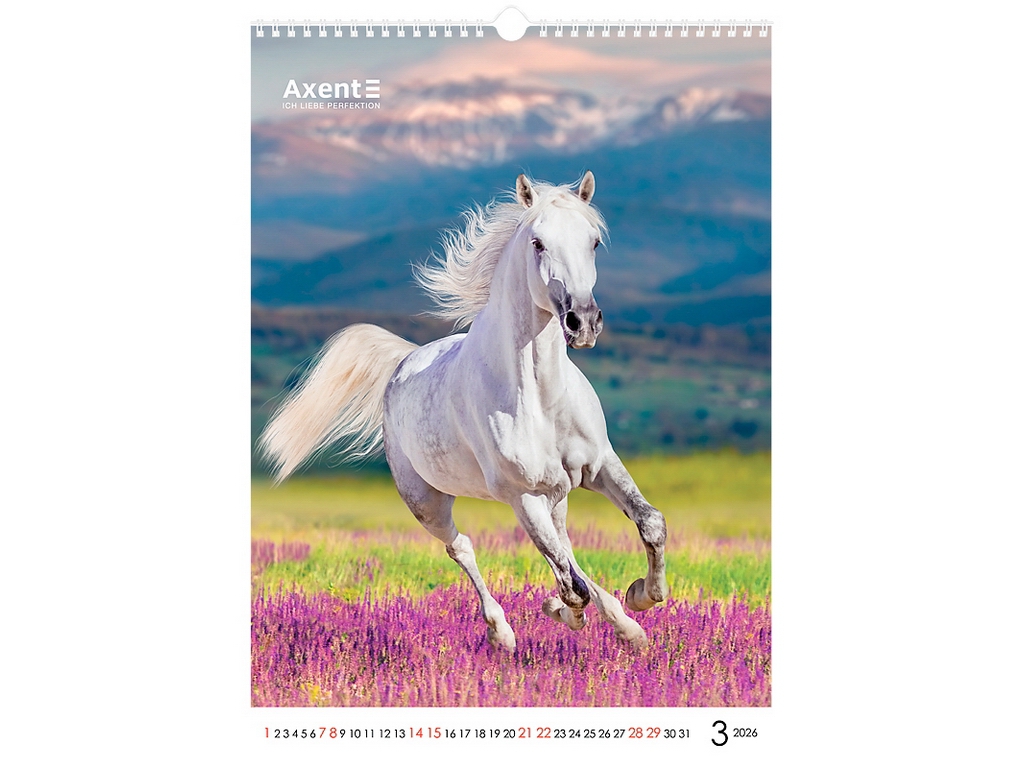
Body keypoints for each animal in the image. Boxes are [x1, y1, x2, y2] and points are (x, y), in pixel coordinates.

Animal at [259, 172, 667, 651]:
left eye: (594, 241)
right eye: (538, 243)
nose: (582, 322)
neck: (541, 398)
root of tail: (403, 362)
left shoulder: (598, 465)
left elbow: (649, 524)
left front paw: (641, 598)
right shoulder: (522, 495)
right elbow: (570, 582)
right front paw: (567, 611)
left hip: (557, 494)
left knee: (565, 547)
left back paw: (622, 624)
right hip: (427, 501)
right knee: (465, 548)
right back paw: (503, 632)